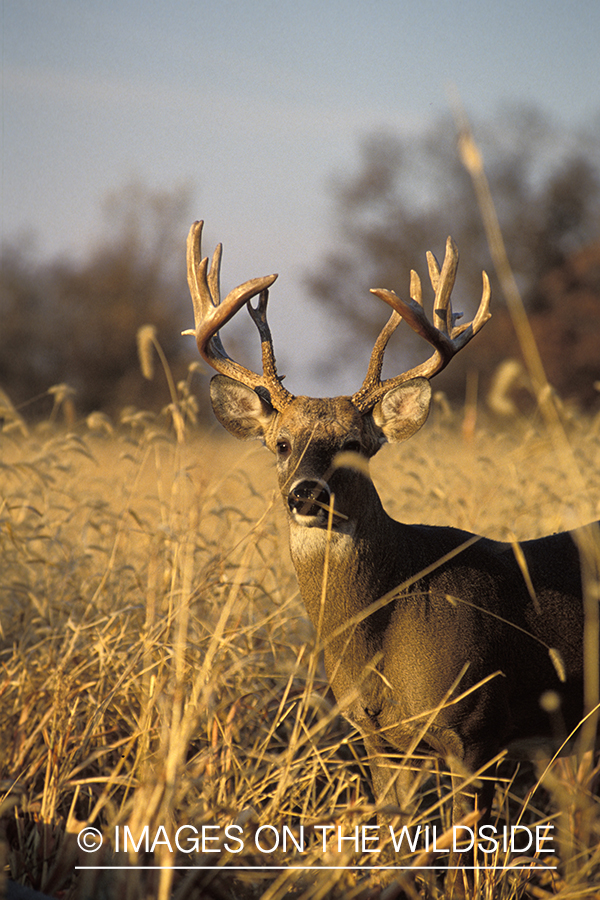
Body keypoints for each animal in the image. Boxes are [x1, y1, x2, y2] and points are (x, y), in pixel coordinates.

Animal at [184, 223, 596, 884]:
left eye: (356, 444)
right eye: (281, 443)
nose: (306, 492)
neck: (381, 635)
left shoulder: (475, 729)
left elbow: (462, 860)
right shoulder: (380, 741)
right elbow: (397, 849)